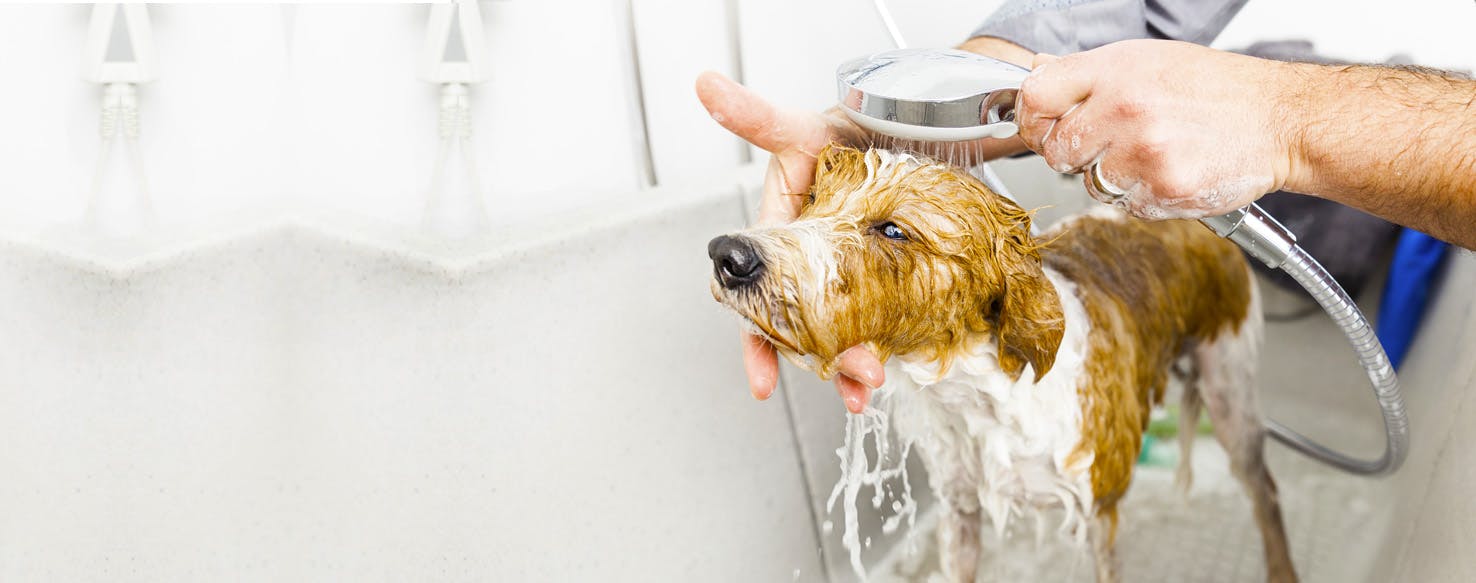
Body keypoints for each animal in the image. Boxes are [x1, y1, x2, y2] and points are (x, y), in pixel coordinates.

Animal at [702, 147, 1292, 583]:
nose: (729, 255)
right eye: (813, 198)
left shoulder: (1099, 511)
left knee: (1265, 490)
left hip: (1232, 392)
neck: (975, 394)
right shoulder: (959, 510)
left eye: (893, 230)